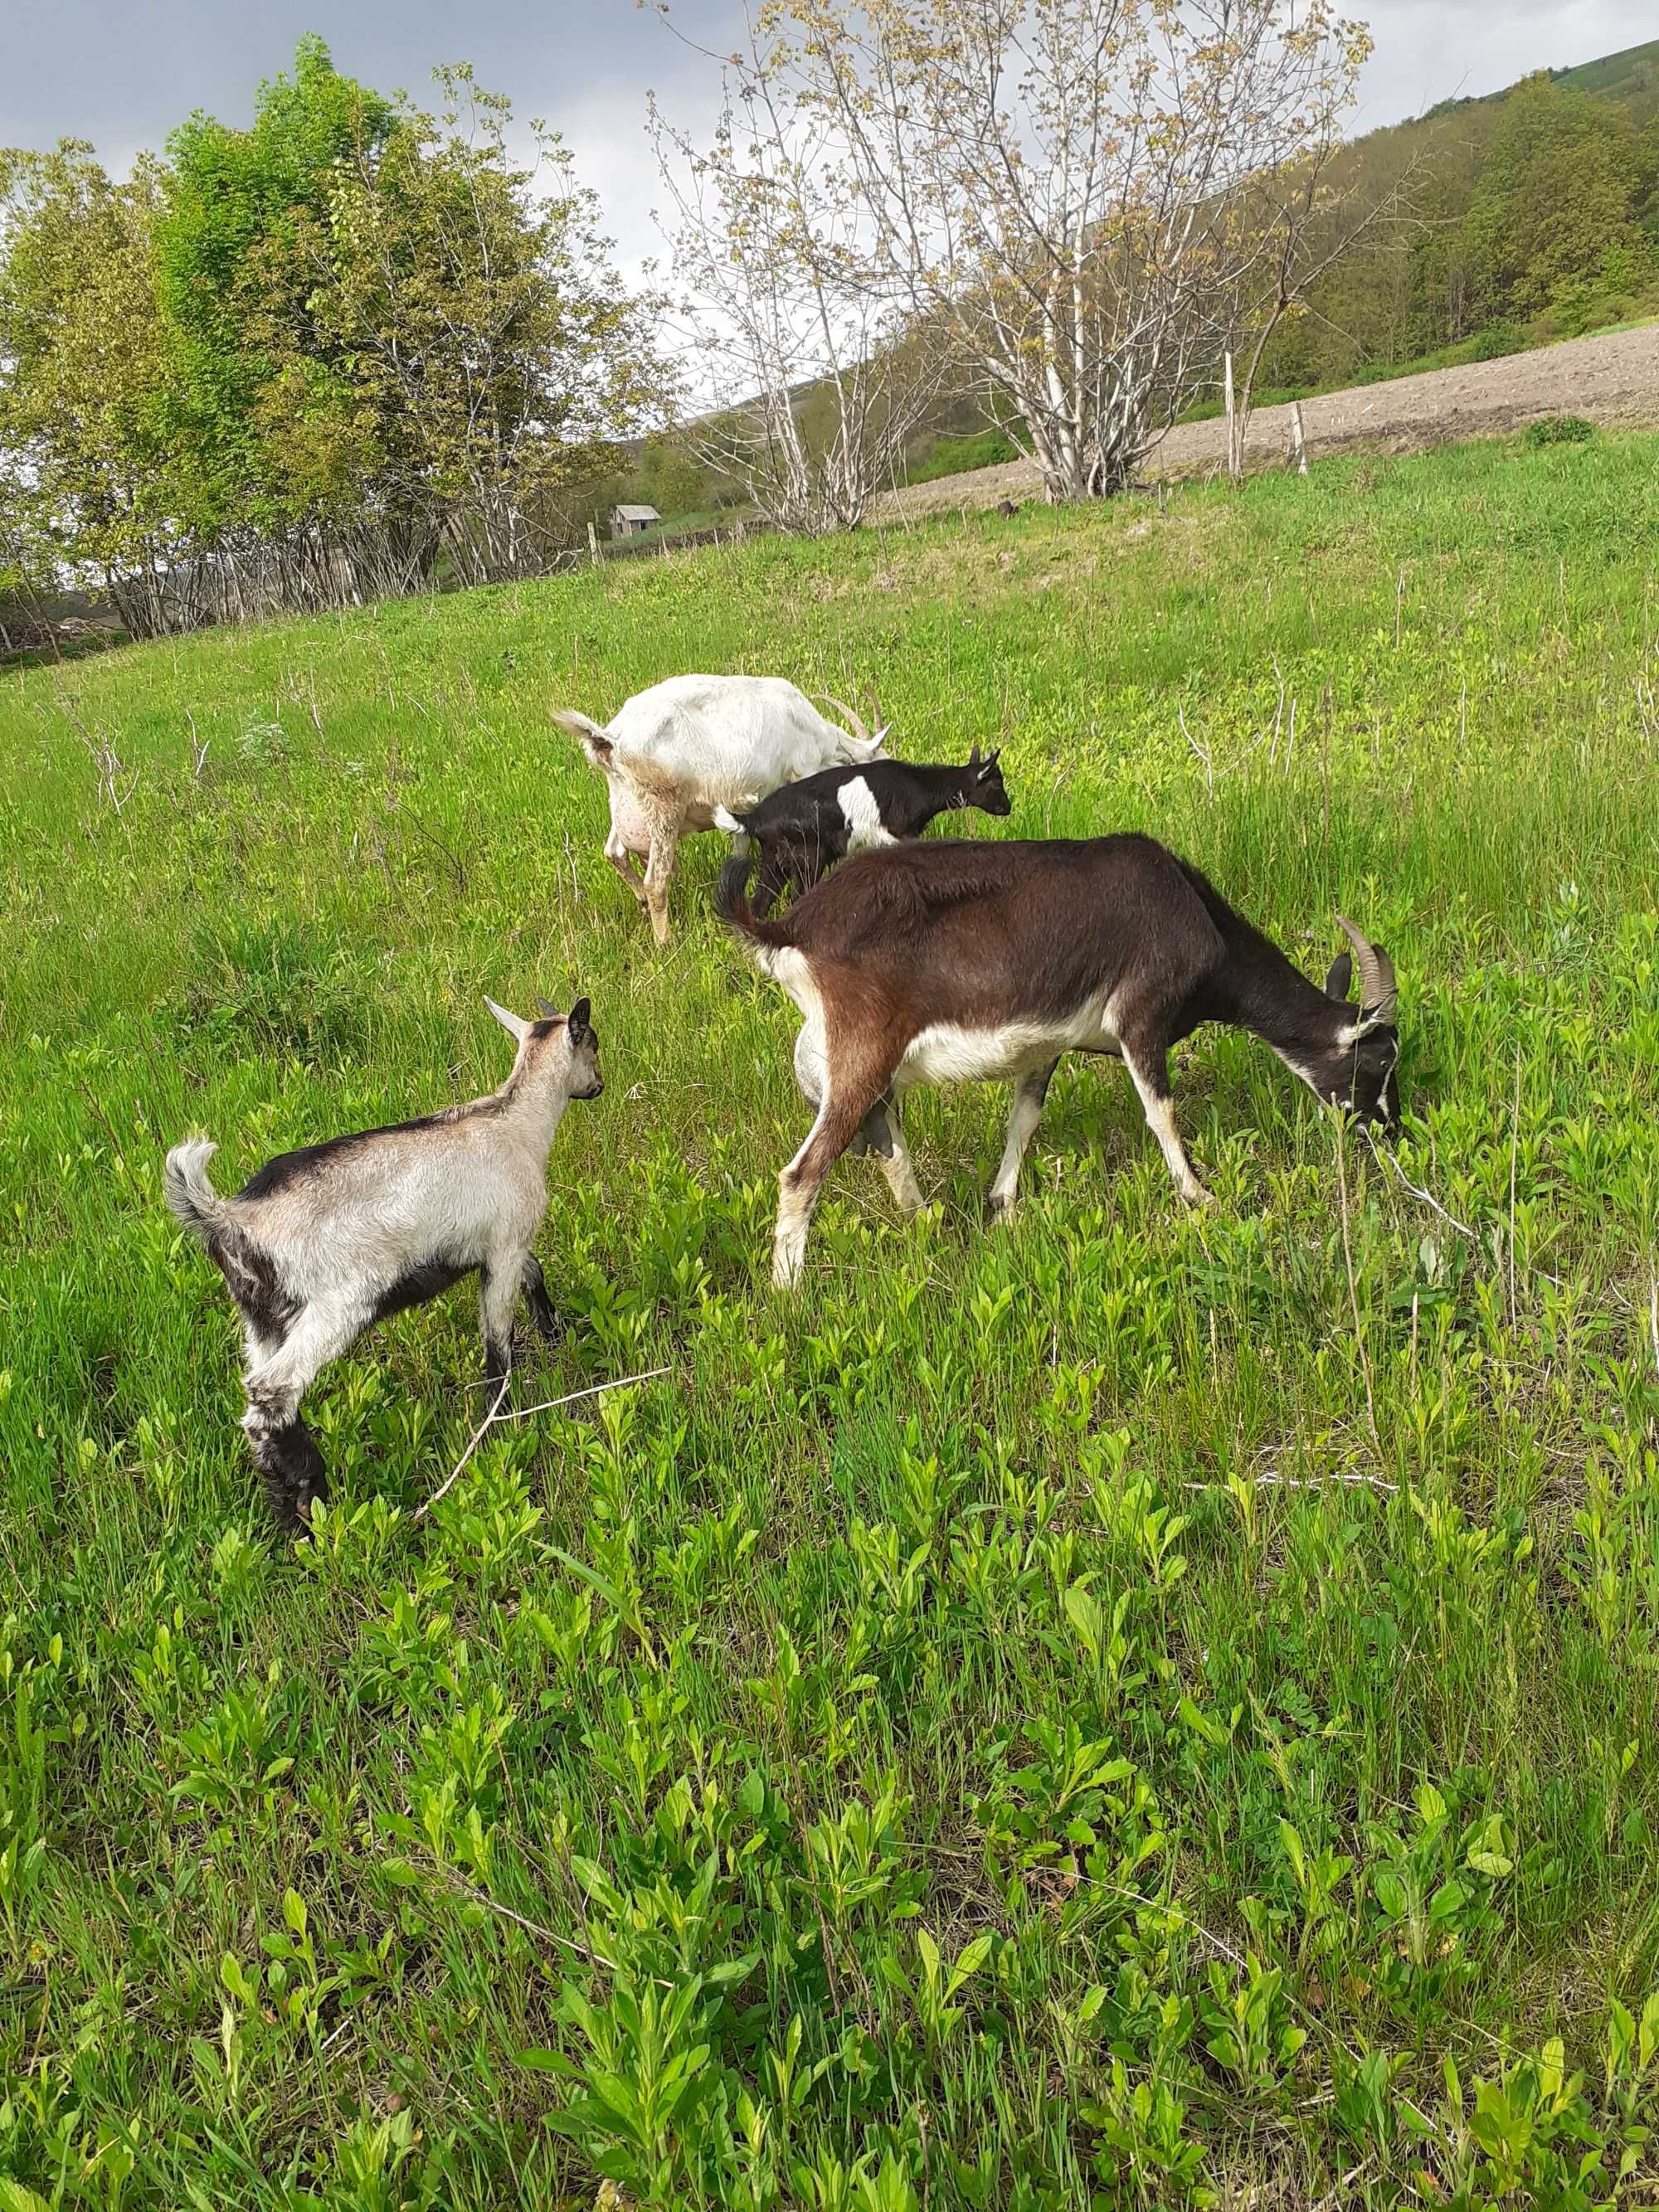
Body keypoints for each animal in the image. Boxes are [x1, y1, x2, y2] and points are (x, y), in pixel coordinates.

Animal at [555, 677, 898, 946]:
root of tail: (609, 740)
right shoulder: (802, 773)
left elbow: (741, 845)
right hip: (664, 805)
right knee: (656, 879)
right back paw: (666, 941)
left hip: (625, 803)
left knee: (614, 852)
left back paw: (640, 900)